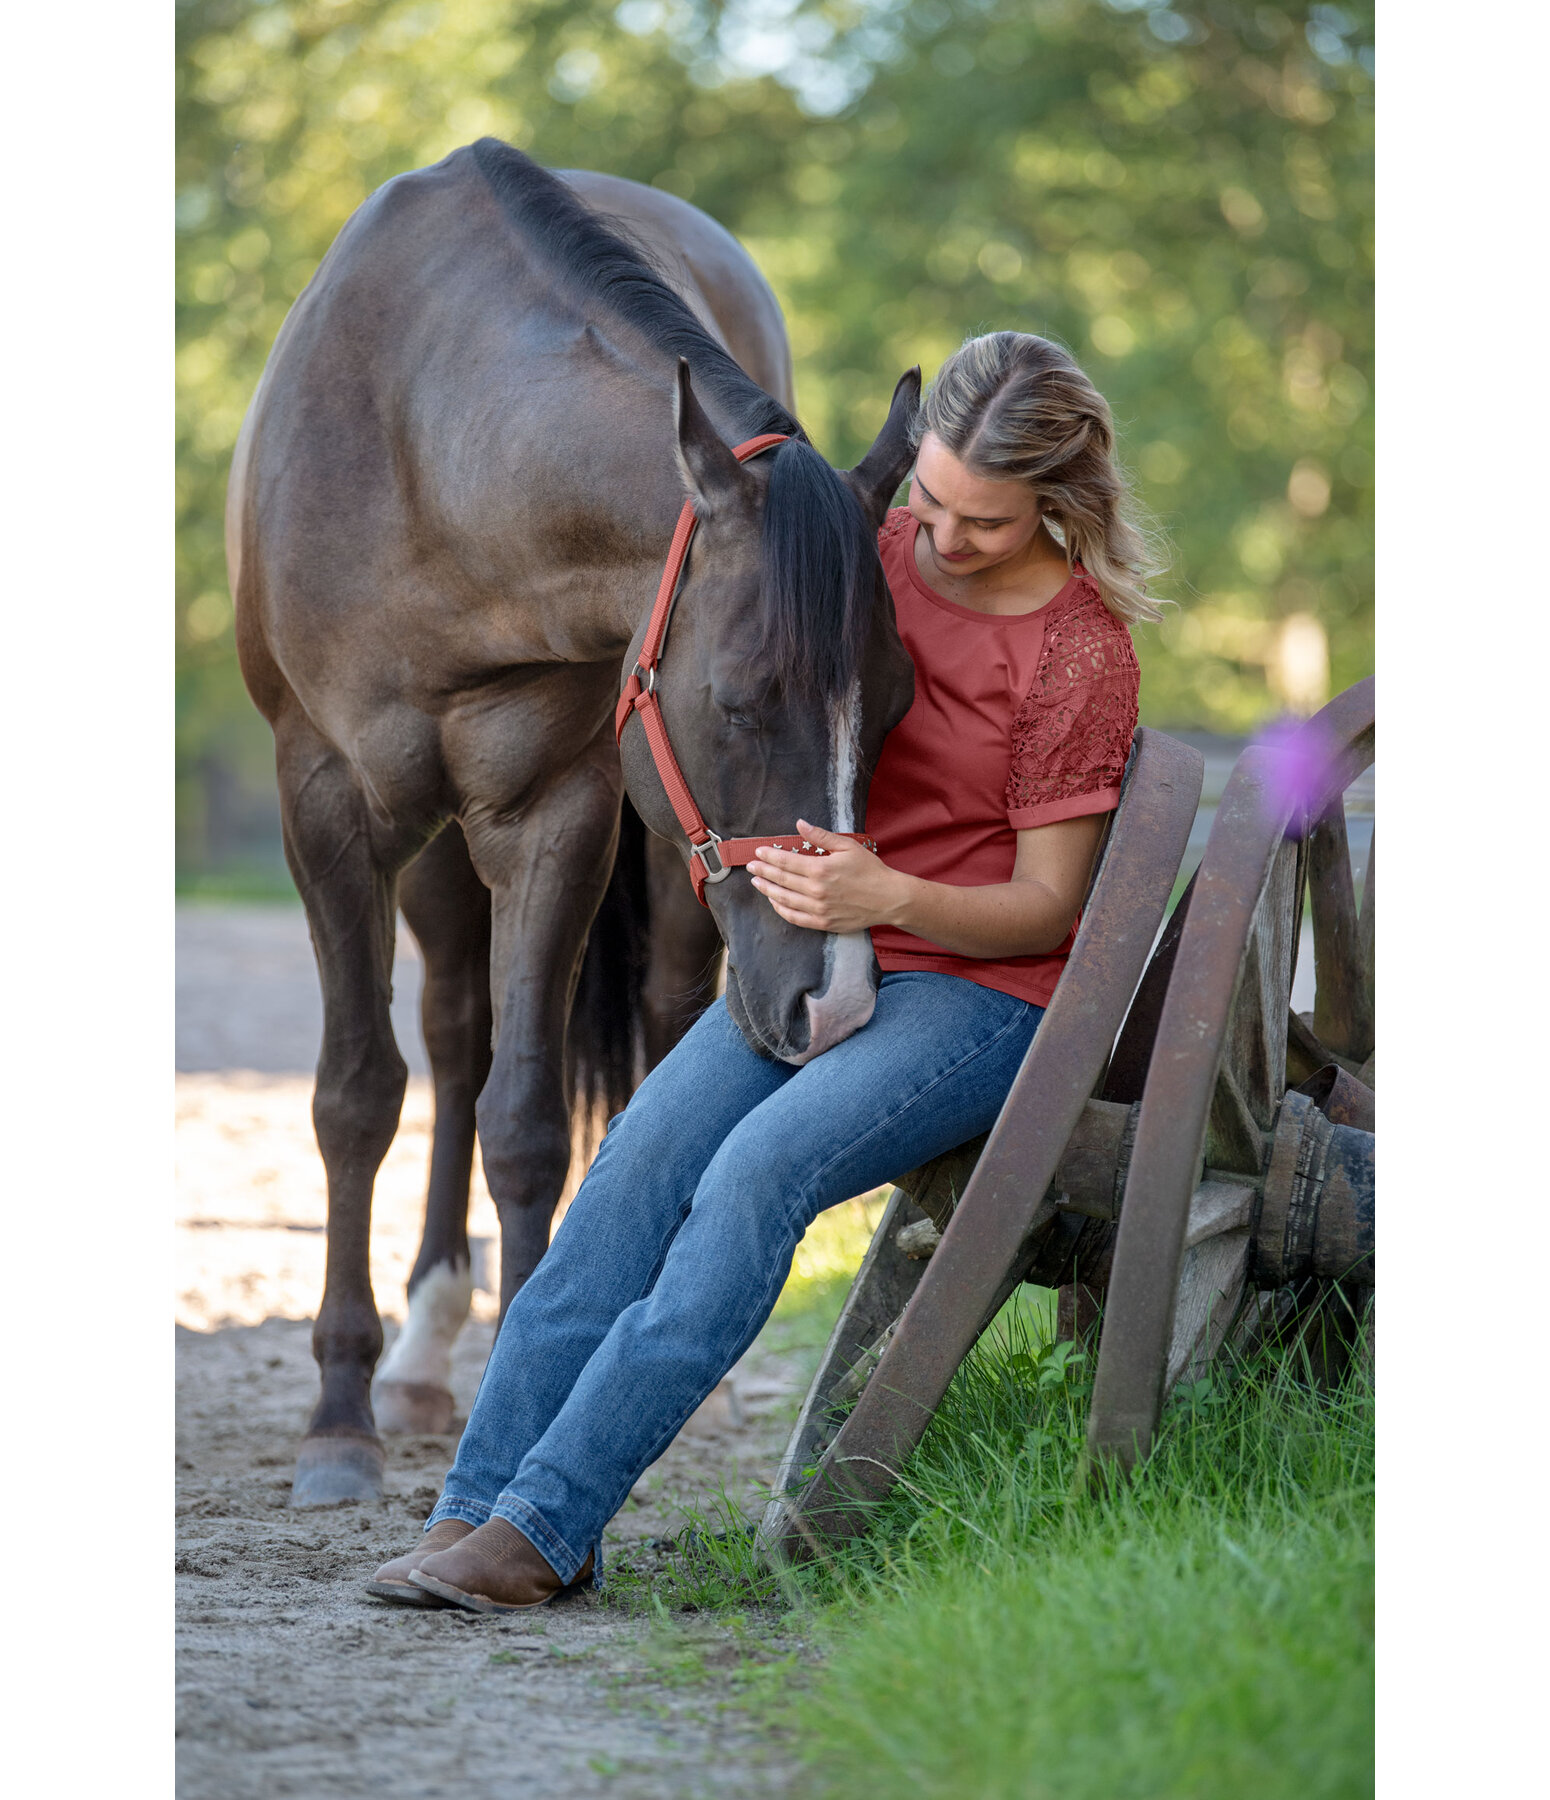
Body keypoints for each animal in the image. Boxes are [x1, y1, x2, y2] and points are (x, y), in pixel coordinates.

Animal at [229, 133, 918, 1497]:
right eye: (740, 701)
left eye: (897, 707)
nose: (838, 1003)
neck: (429, 461)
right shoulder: (322, 802)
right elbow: (357, 1096)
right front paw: (338, 1414)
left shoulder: (561, 811)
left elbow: (531, 1124)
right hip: (431, 854)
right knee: (450, 1033)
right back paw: (417, 1355)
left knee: (646, 1020)